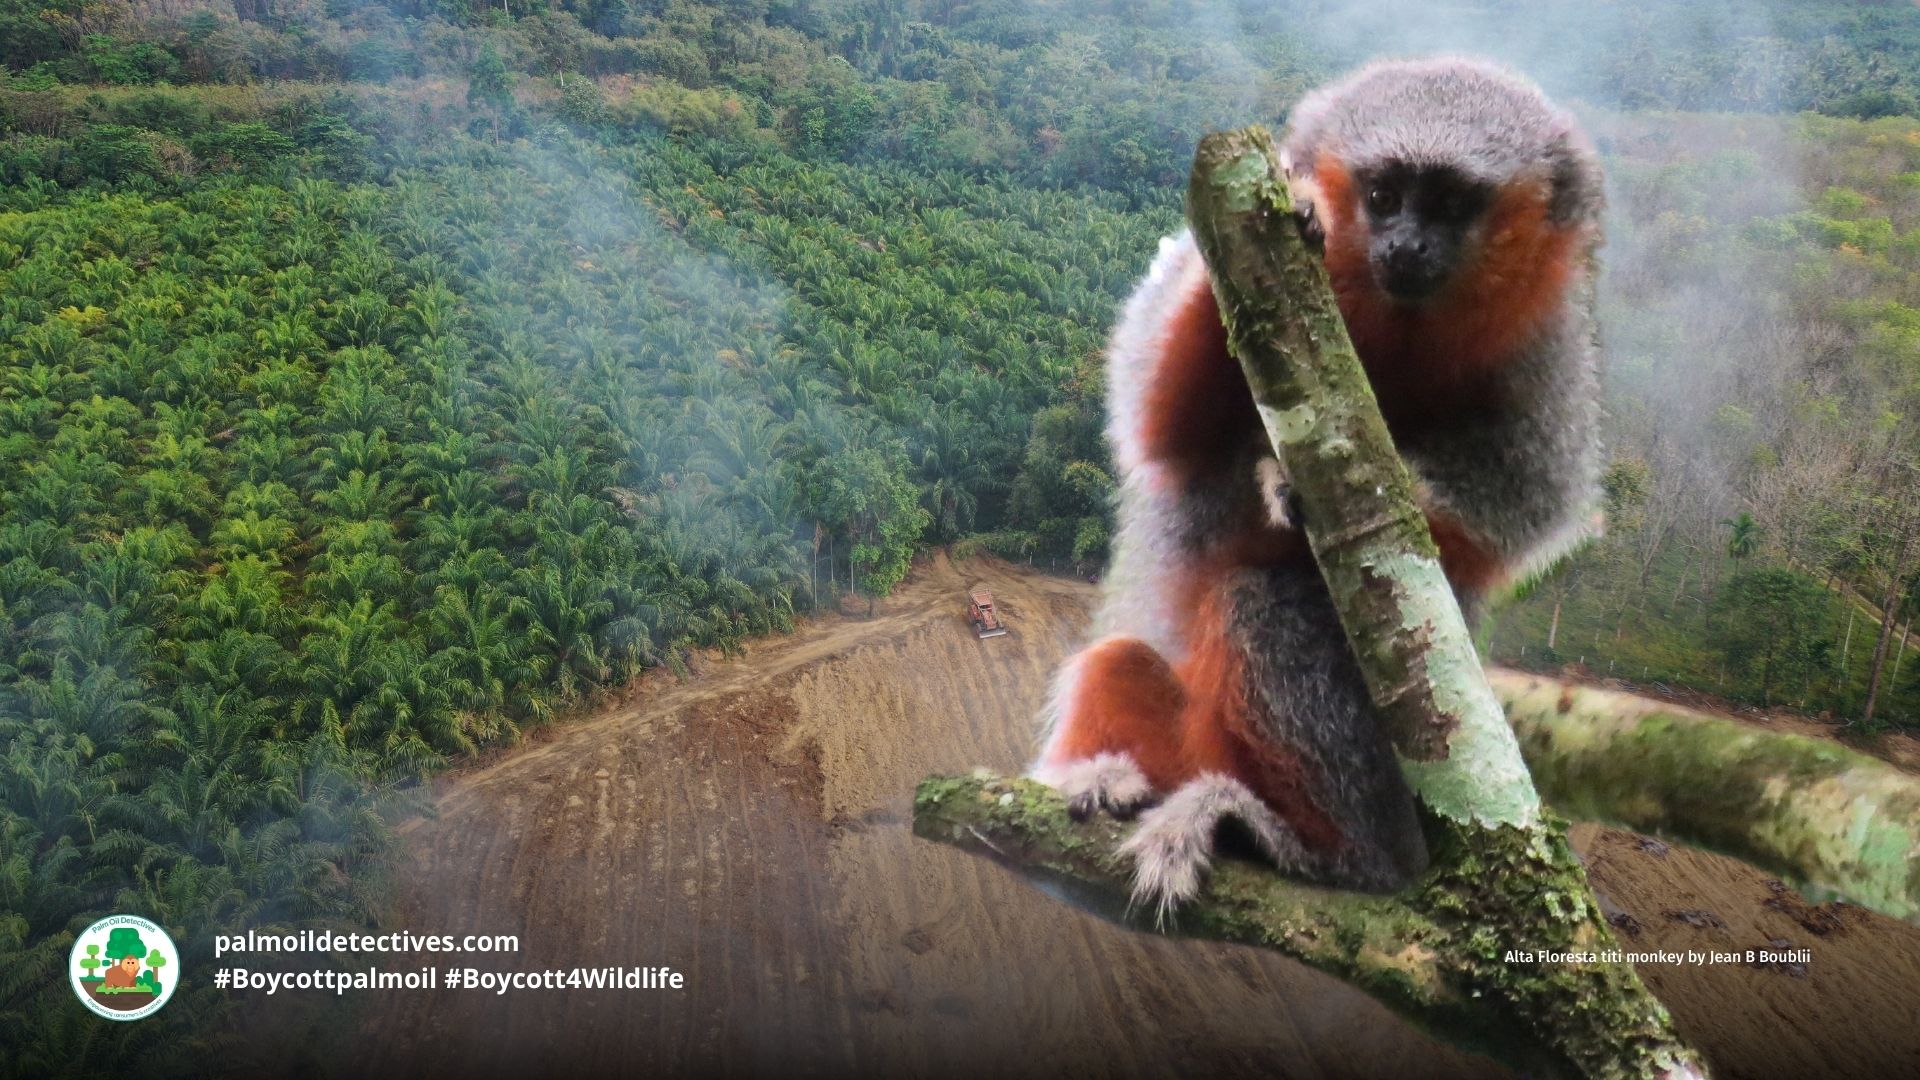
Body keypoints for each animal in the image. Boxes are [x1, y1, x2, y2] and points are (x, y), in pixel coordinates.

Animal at [1028, 56, 1606, 919]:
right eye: (1384, 196)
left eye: (1449, 205)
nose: (1406, 244)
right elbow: (1157, 427)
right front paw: (1294, 212)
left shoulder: (1549, 344)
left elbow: (1529, 508)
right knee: (1122, 659)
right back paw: (1112, 782)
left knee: (1266, 604)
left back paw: (1323, 853)